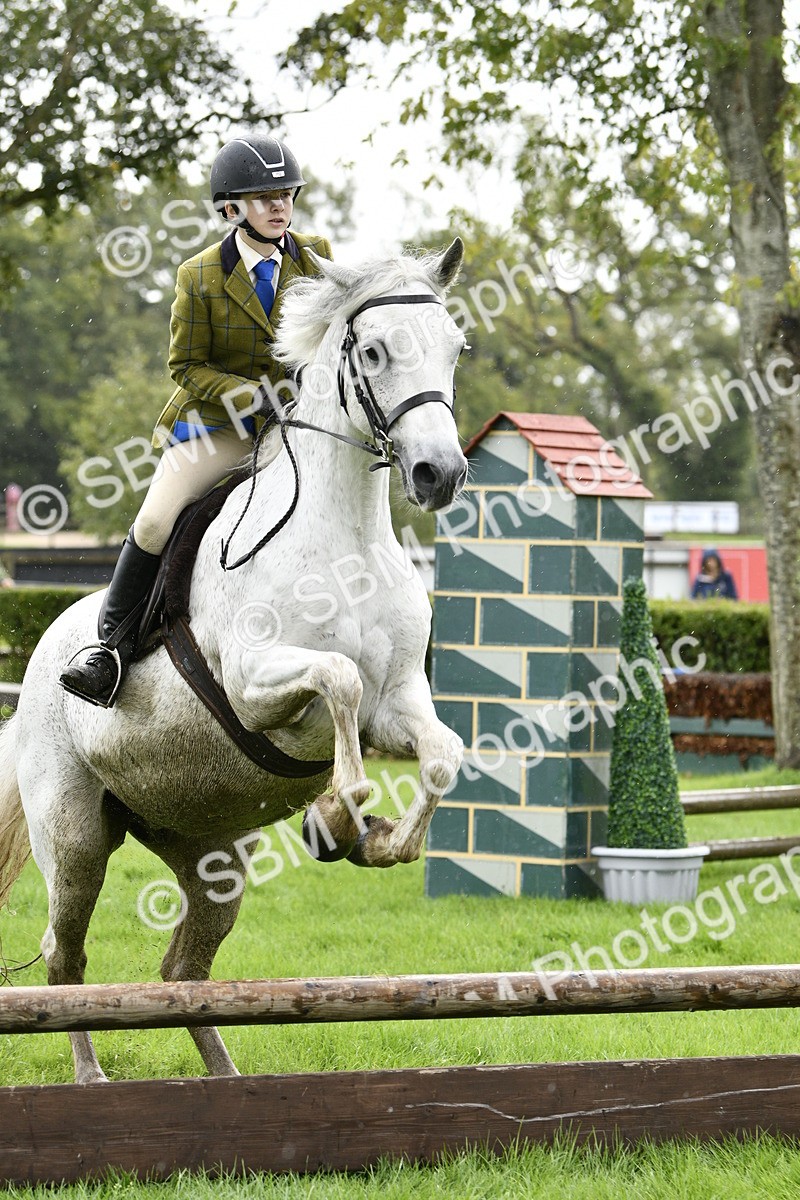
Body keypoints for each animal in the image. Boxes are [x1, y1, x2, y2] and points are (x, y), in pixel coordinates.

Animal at [0, 238, 468, 1084]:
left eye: (454, 349)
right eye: (375, 353)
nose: (438, 475)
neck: (345, 535)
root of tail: (42, 661)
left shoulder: (397, 704)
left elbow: (442, 754)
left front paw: (380, 841)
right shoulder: (256, 686)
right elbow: (339, 683)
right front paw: (337, 816)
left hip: (209, 849)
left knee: (183, 969)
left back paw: (225, 1078)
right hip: (76, 836)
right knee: (64, 954)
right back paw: (89, 1074)